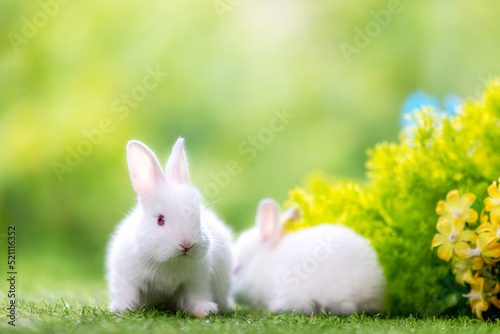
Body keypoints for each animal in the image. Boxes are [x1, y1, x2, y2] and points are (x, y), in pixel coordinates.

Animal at [106, 137, 234, 318]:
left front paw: (205, 311)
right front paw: (121, 310)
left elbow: (195, 296)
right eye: (161, 220)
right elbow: (128, 294)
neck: (168, 261)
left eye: (198, 216)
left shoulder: (196, 281)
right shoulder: (127, 278)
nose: (187, 244)